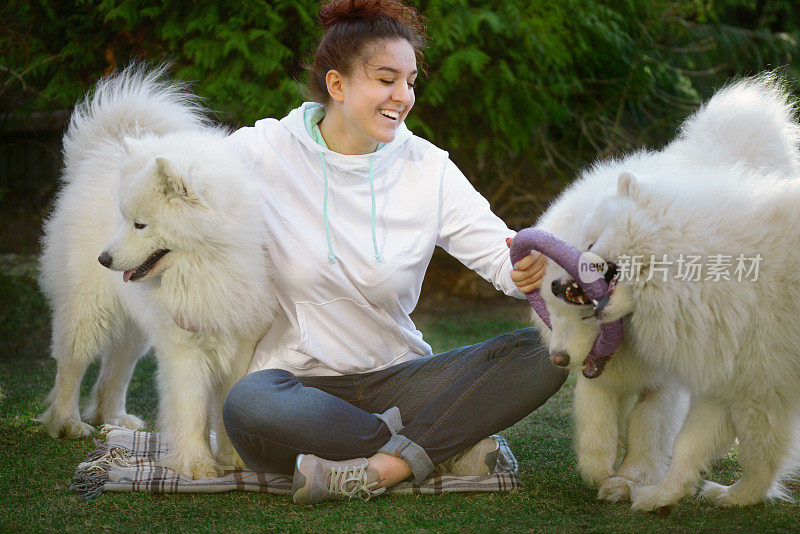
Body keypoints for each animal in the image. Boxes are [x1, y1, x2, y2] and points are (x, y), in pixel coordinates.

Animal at [36, 67, 276, 482]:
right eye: (124, 220)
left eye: (140, 224)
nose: (104, 259)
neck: (212, 261)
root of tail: (99, 153)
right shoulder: (184, 346)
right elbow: (191, 409)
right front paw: (197, 465)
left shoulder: (242, 340)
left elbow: (229, 403)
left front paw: (237, 460)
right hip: (89, 313)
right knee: (71, 366)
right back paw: (66, 423)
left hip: (135, 328)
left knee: (114, 369)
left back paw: (114, 419)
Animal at [532, 74, 800, 506]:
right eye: (553, 313)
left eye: (583, 313)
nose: (557, 359)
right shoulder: (602, 373)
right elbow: (595, 421)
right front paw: (601, 470)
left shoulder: (693, 379)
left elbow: (651, 430)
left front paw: (633, 479)